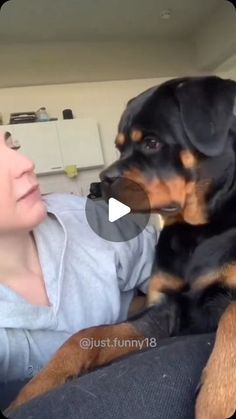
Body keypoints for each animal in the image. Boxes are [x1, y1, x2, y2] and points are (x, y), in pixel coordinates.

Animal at [6, 77, 236, 418]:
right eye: (119, 146)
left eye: (152, 143)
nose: (104, 180)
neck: (196, 232)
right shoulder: (162, 311)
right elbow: (87, 335)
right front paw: (32, 392)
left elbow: (230, 319)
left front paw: (218, 402)